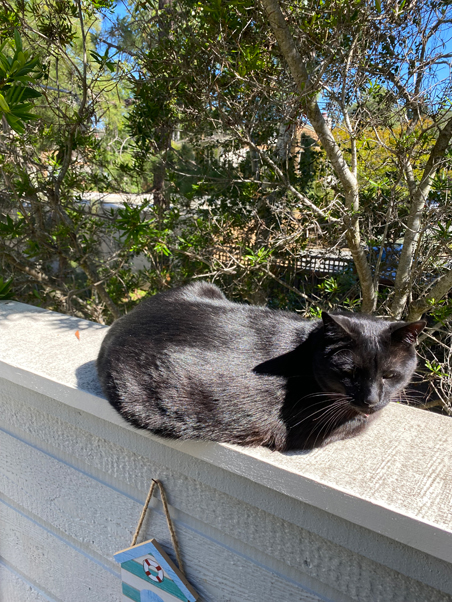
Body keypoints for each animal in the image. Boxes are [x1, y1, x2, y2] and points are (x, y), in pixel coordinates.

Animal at [97, 284, 426, 448]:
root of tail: (124, 320)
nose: (370, 399)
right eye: (349, 373)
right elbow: (361, 423)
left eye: (390, 375)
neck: (306, 352)